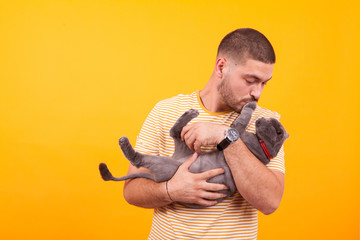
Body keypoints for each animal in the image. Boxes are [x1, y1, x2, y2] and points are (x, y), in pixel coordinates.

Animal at [99, 102, 290, 207]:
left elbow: (243, 118)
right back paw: (190, 113)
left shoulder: (236, 131)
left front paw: (250, 106)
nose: (261, 119)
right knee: (174, 132)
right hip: (184, 146)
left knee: (140, 158)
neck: (263, 148)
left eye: (270, 123)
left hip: (167, 165)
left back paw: (125, 144)